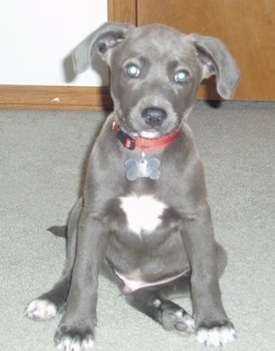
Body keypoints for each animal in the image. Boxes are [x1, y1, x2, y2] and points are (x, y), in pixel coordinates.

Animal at [25, 22, 242, 351]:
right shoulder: (94, 218)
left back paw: (172, 313)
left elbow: (204, 277)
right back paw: (50, 300)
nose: (154, 115)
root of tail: (130, 279)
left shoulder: (197, 219)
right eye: (132, 69)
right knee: (71, 271)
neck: (145, 152)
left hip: (216, 254)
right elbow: (83, 277)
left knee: (141, 294)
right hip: (77, 214)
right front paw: (76, 327)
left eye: (182, 76)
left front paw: (214, 323)